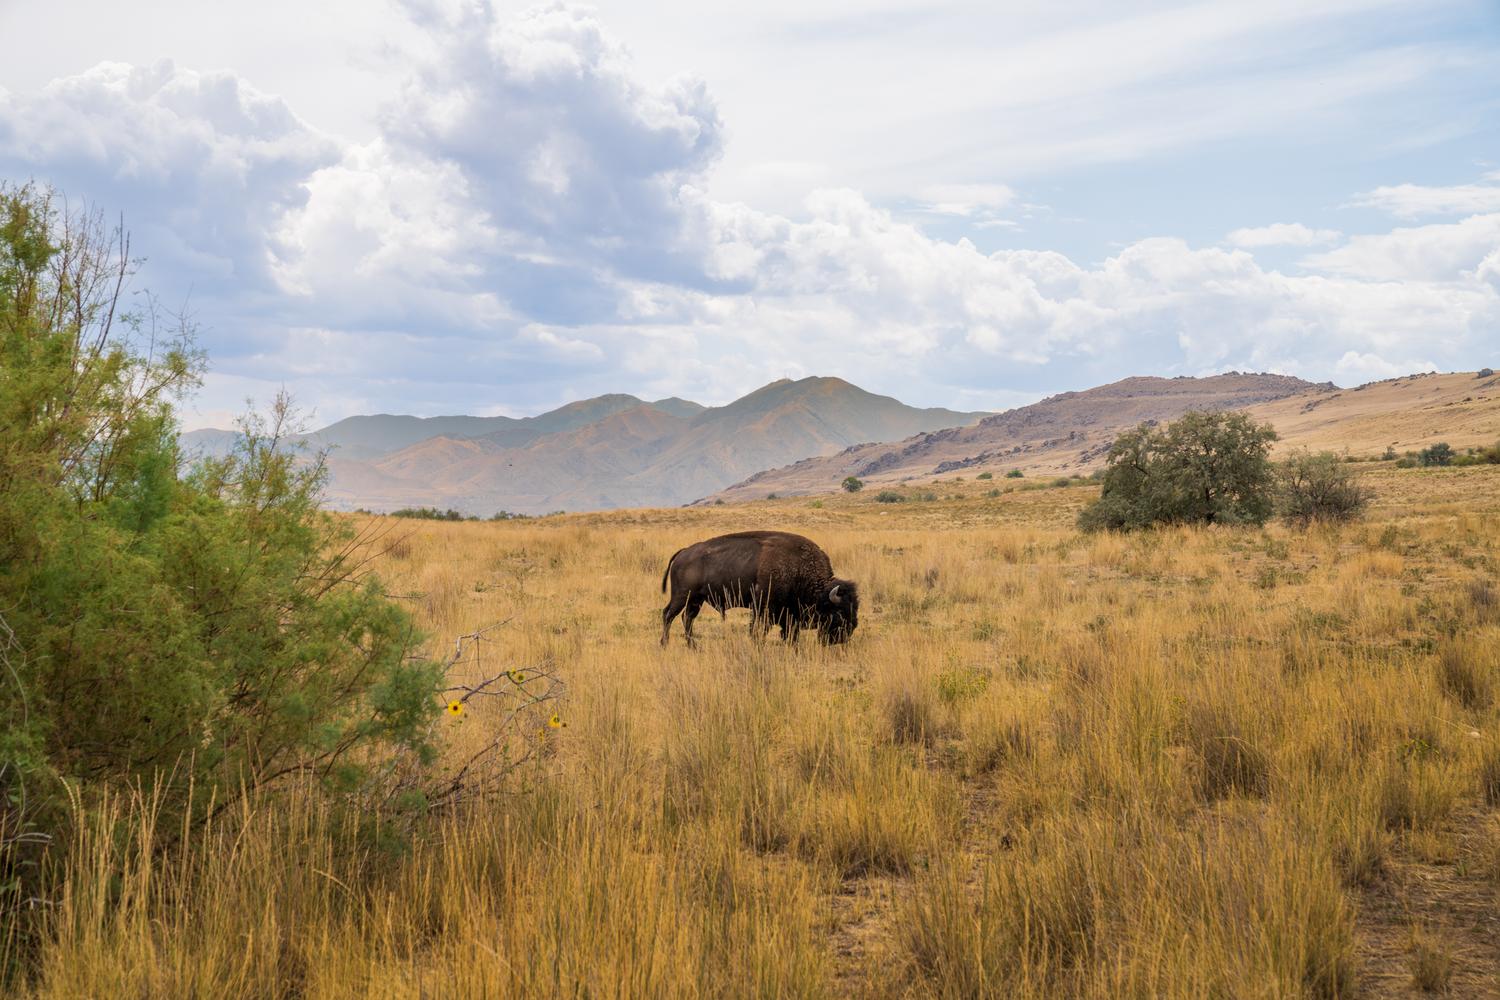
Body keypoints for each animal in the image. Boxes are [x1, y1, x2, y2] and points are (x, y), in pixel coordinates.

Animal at [659, 530, 859, 646]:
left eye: (854, 609)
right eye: (839, 613)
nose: (847, 634)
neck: (799, 569)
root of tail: (684, 552)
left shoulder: (788, 614)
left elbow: (790, 633)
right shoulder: (763, 608)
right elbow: (759, 629)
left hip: (696, 599)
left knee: (687, 618)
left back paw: (692, 645)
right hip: (682, 596)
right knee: (668, 614)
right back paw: (664, 643)